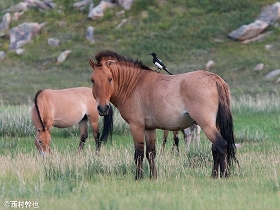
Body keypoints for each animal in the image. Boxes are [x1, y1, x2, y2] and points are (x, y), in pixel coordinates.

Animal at [89, 50, 238, 179]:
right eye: (92, 80)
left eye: (110, 79)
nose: (103, 108)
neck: (134, 85)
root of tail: (215, 78)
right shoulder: (150, 128)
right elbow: (151, 153)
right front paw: (153, 177)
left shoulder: (136, 126)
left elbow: (139, 153)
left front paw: (138, 177)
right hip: (215, 124)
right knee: (215, 149)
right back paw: (214, 175)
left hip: (206, 124)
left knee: (221, 145)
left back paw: (224, 175)